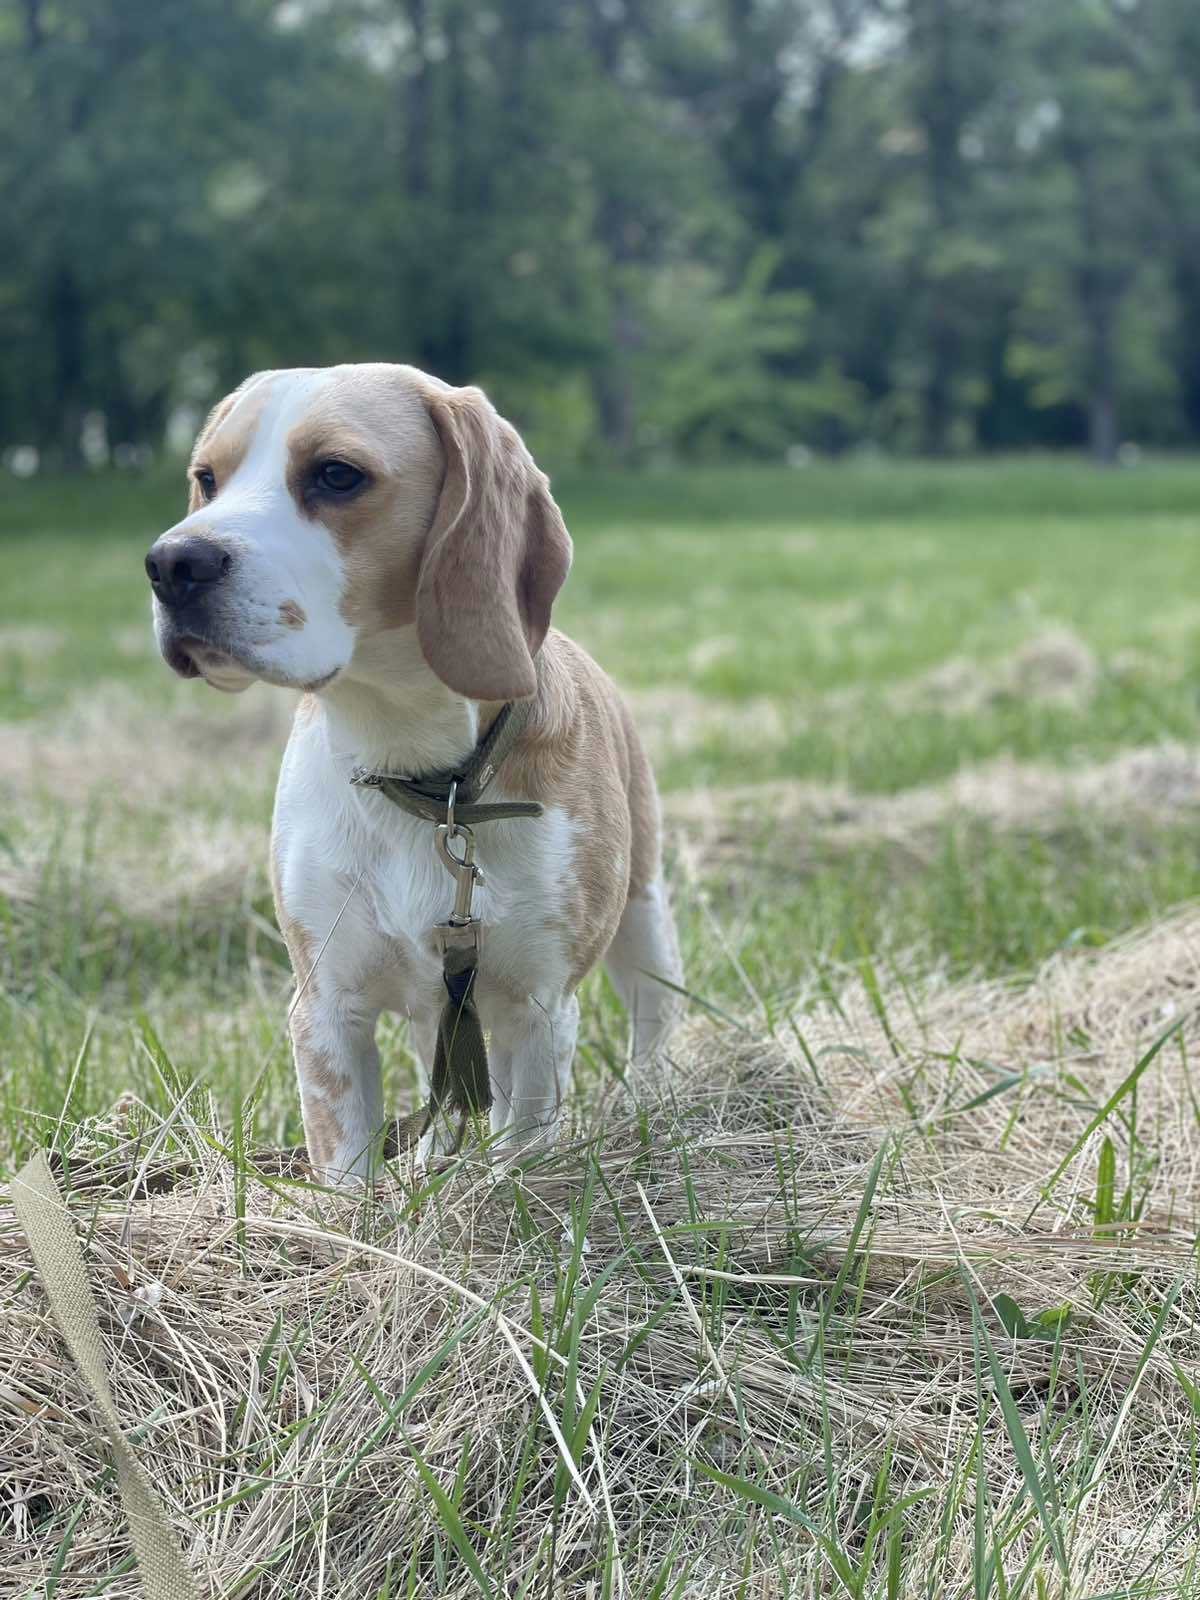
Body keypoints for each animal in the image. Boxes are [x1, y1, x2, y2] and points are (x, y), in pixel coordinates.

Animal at [145, 366, 681, 1190]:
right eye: (207, 478)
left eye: (337, 475)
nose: (172, 563)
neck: (420, 771)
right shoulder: (326, 1010)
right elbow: (346, 1173)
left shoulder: (538, 1008)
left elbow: (521, 1147)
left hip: (644, 917)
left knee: (649, 1022)